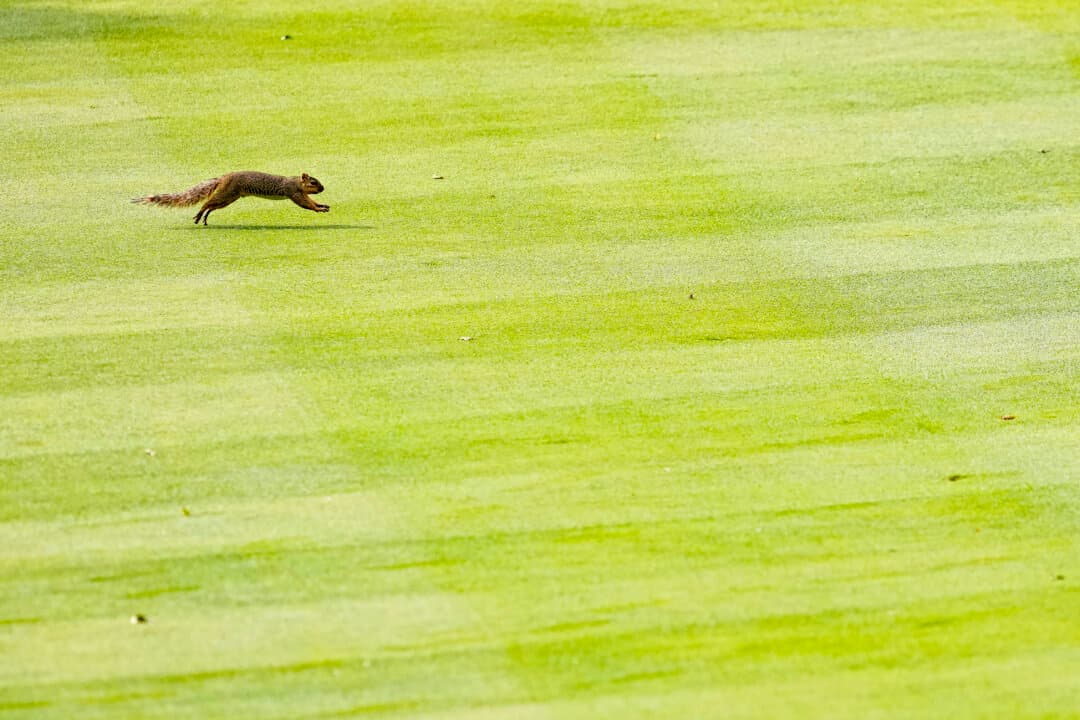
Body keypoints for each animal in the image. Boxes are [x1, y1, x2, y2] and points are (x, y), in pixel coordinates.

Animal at [132, 171, 329, 225]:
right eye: (313, 182)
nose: (323, 188)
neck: (296, 181)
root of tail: (223, 178)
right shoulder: (294, 192)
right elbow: (306, 204)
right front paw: (319, 209)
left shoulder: (300, 193)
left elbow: (310, 201)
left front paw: (323, 205)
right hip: (227, 193)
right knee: (207, 203)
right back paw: (199, 215)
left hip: (229, 198)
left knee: (212, 206)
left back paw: (204, 217)